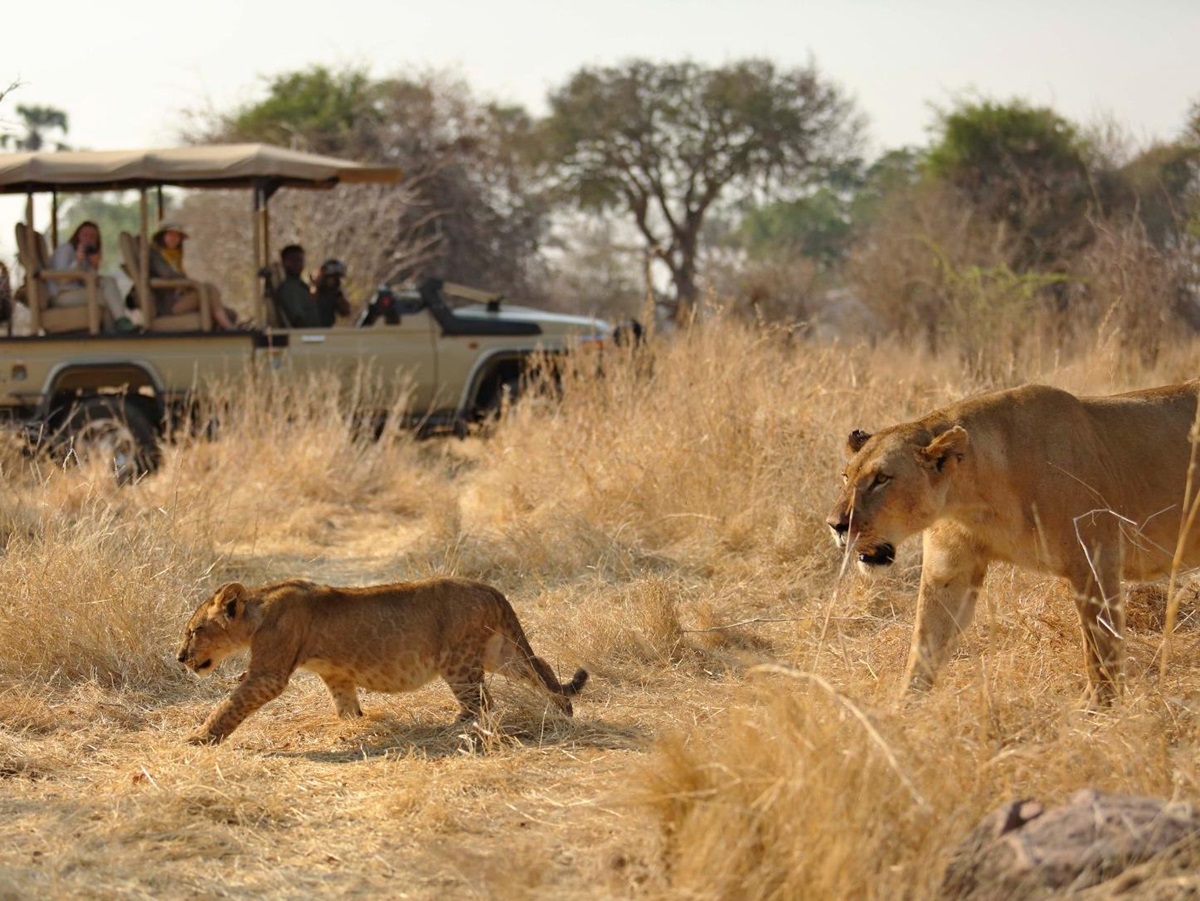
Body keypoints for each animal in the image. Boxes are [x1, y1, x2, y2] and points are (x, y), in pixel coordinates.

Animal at [176, 577, 588, 744]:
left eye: (194, 630)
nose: (180, 658)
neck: (258, 610)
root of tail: (491, 589)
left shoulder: (268, 674)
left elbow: (230, 704)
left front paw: (199, 737)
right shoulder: (337, 675)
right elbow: (346, 705)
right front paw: (353, 727)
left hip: (458, 661)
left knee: (482, 702)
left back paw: (453, 729)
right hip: (498, 652)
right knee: (541, 668)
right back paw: (563, 710)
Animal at [826, 381, 1200, 703]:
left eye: (881, 479)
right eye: (846, 476)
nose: (836, 525)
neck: (973, 498)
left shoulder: (1096, 560)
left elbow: (1099, 646)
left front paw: (1098, 709)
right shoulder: (949, 571)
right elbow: (925, 644)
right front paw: (902, 711)